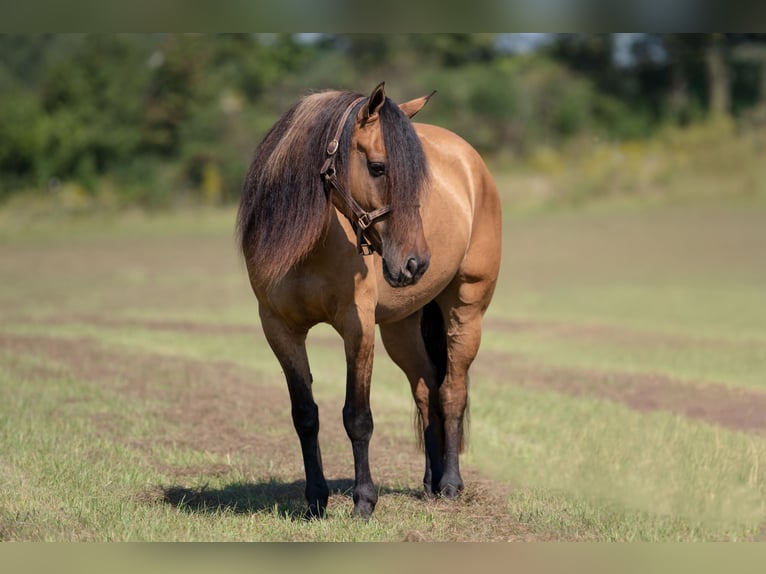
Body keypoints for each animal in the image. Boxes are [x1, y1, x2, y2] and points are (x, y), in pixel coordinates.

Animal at [240, 82, 504, 520]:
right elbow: (305, 415)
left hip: (466, 312)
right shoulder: (279, 329)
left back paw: (450, 484)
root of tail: (473, 164)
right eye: (378, 167)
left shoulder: (357, 328)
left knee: (451, 390)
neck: (308, 244)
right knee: (426, 392)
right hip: (401, 328)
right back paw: (431, 483)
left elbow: (357, 416)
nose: (416, 263)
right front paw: (316, 499)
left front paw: (364, 500)